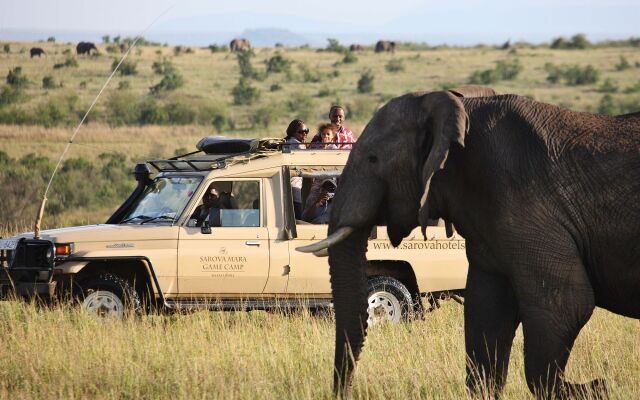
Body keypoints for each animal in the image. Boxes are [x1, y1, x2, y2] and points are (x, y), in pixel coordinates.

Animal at [300, 86, 640, 398]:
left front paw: (596, 388)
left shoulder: (530, 204)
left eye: (373, 159)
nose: (343, 391)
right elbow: (484, 313)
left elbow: (566, 303)